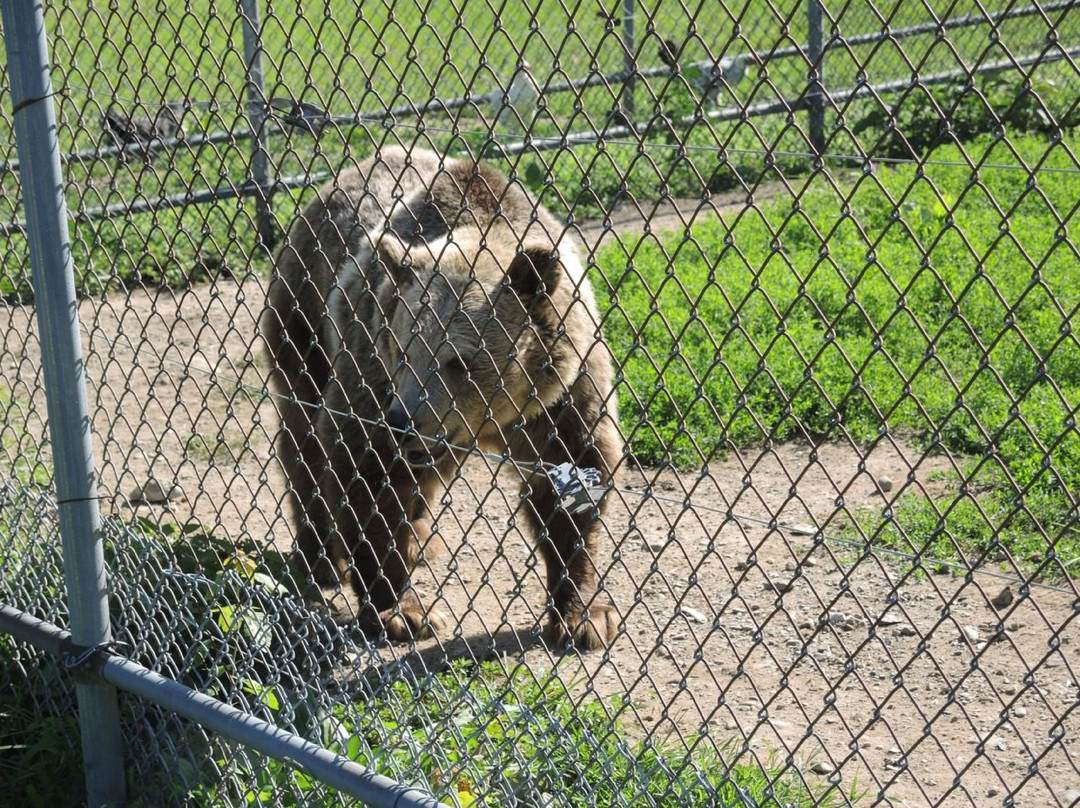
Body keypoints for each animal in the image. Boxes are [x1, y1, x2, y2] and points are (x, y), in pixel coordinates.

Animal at [257, 144, 622, 648]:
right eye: (404, 348)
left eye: (458, 359)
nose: (401, 421)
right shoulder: (370, 366)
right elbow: (363, 467)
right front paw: (401, 610)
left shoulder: (562, 393)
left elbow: (573, 475)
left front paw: (585, 615)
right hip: (304, 315)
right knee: (303, 436)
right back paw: (324, 556)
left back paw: (421, 539)